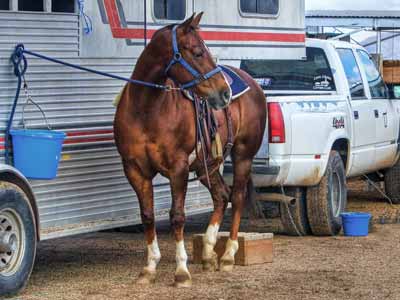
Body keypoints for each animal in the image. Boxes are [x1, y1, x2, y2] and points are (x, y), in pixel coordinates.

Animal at [114, 12, 268, 288]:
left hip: (243, 156)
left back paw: (227, 256)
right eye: (197, 52)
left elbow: (177, 216)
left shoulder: (178, 168)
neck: (146, 110)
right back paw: (208, 254)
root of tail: (252, 83)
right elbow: (147, 215)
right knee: (221, 196)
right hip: (208, 165)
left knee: (237, 197)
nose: (225, 93)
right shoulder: (135, 169)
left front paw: (181, 271)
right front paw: (149, 268)